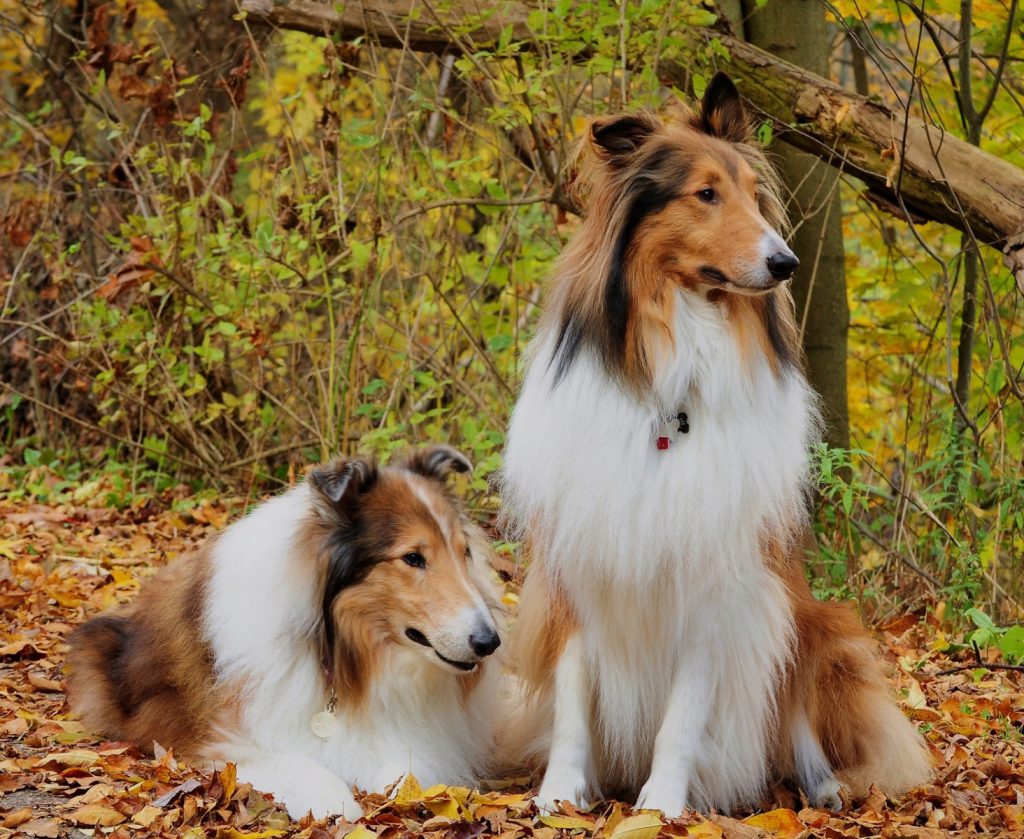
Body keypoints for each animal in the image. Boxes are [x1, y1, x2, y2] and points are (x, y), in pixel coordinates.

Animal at [68, 446, 503, 819]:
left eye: (464, 553)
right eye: (413, 557)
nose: (489, 642)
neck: (342, 653)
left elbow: (405, 770)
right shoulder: (232, 740)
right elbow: (308, 771)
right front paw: (340, 805)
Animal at [499, 75, 933, 815]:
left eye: (753, 195)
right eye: (705, 193)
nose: (785, 262)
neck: (670, 390)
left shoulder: (717, 583)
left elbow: (683, 713)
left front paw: (661, 806)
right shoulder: (578, 565)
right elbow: (571, 701)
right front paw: (561, 794)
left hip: (817, 626)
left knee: (801, 724)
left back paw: (823, 787)